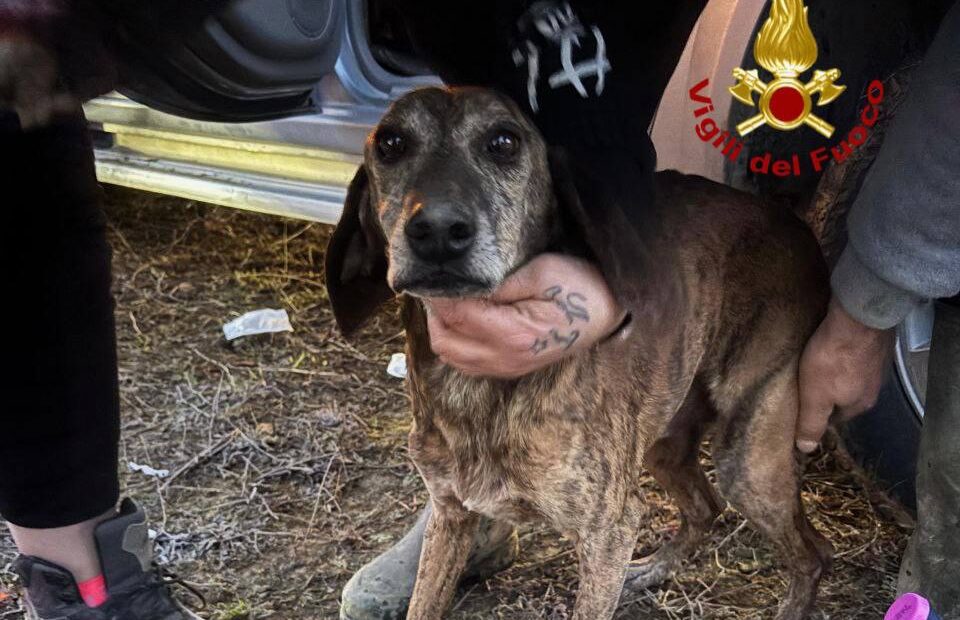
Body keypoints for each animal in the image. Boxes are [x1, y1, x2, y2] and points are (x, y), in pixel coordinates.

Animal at [325, 86, 833, 620]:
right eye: (391, 143)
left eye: (504, 141)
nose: (439, 230)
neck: (477, 389)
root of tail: (793, 224)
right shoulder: (451, 514)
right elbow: (424, 600)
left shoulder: (609, 532)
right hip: (665, 439)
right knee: (705, 508)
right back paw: (653, 569)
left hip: (748, 458)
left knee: (814, 551)